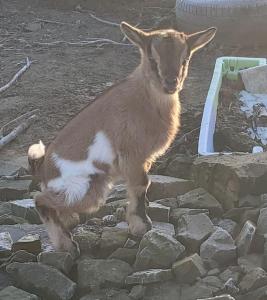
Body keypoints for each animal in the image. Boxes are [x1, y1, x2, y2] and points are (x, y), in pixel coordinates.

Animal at [28, 22, 218, 256]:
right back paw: (67, 245)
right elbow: (141, 185)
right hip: (86, 189)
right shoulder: (132, 156)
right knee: (40, 200)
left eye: (185, 59)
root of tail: (43, 171)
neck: (145, 98)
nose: (170, 84)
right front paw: (141, 227)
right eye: (152, 59)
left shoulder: (144, 159)